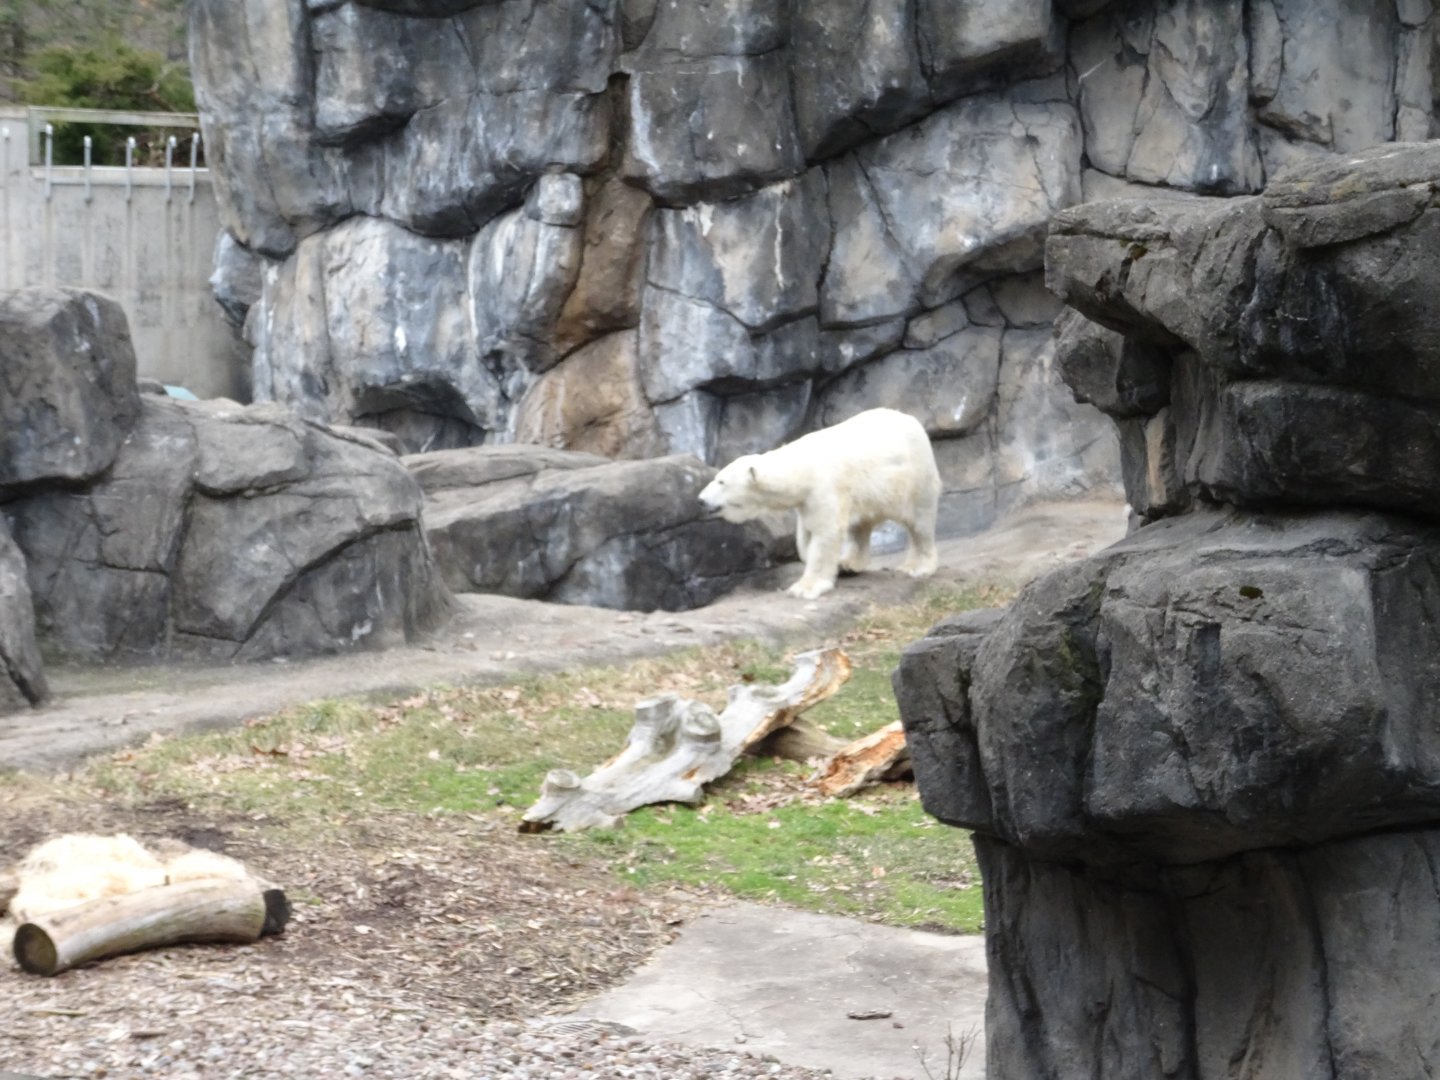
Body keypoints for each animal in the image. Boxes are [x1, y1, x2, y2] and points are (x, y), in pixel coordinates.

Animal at [698, 408, 941, 600]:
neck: (804, 467)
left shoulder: (824, 488)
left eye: (721, 481)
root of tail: (912, 419)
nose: (700, 499)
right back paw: (849, 563)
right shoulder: (807, 500)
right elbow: (805, 536)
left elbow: (825, 533)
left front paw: (805, 588)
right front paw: (827, 565)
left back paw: (918, 567)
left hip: (915, 476)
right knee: (859, 525)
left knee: (920, 522)